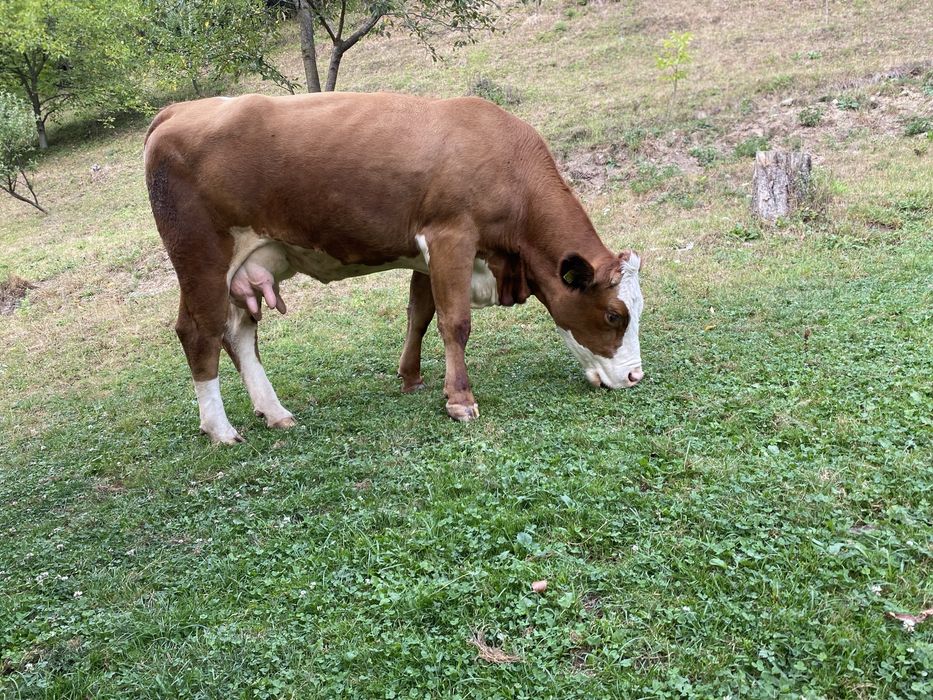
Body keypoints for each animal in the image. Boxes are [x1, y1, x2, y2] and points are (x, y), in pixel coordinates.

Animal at [144, 92, 645, 444]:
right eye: (614, 315)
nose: (636, 376)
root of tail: (176, 111)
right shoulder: (451, 238)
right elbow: (454, 322)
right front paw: (460, 401)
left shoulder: (427, 255)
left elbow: (419, 315)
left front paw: (411, 378)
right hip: (202, 260)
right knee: (199, 333)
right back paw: (220, 429)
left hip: (248, 267)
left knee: (239, 333)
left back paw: (275, 412)